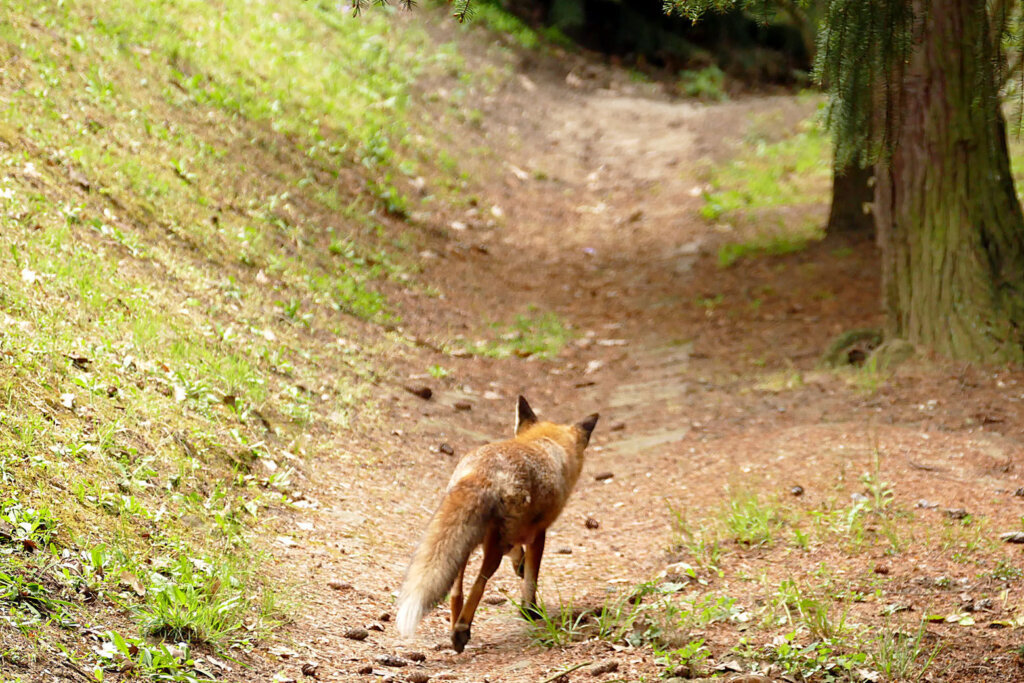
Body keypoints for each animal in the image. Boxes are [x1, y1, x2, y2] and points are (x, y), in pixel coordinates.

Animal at [396, 395, 599, 653]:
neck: (545, 445)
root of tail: (482, 473)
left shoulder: (513, 533)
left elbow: (519, 557)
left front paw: (519, 566)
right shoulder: (537, 533)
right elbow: (531, 578)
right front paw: (530, 610)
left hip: (466, 541)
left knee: (456, 589)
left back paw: (455, 627)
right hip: (492, 547)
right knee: (479, 583)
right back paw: (462, 628)